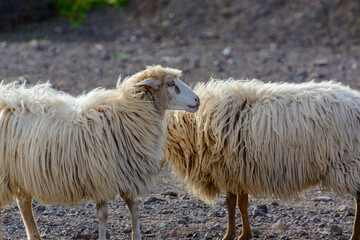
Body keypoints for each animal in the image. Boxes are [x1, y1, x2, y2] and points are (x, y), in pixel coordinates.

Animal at [0, 64, 200, 240]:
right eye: (170, 83)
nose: (198, 100)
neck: (127, 113)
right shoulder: (103, 177)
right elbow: (103, 214)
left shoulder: (124, 173)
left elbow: (134, 208)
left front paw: (136, 235)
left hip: (19, 173)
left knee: (24, 203)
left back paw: (34, 235)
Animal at [164, 79, 360, 240]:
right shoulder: (239, 170)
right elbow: (241, 203)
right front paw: (244, 234)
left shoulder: (230, 170)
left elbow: (231, 203)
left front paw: (232, 235)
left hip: (349, 164)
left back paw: (354, 235)